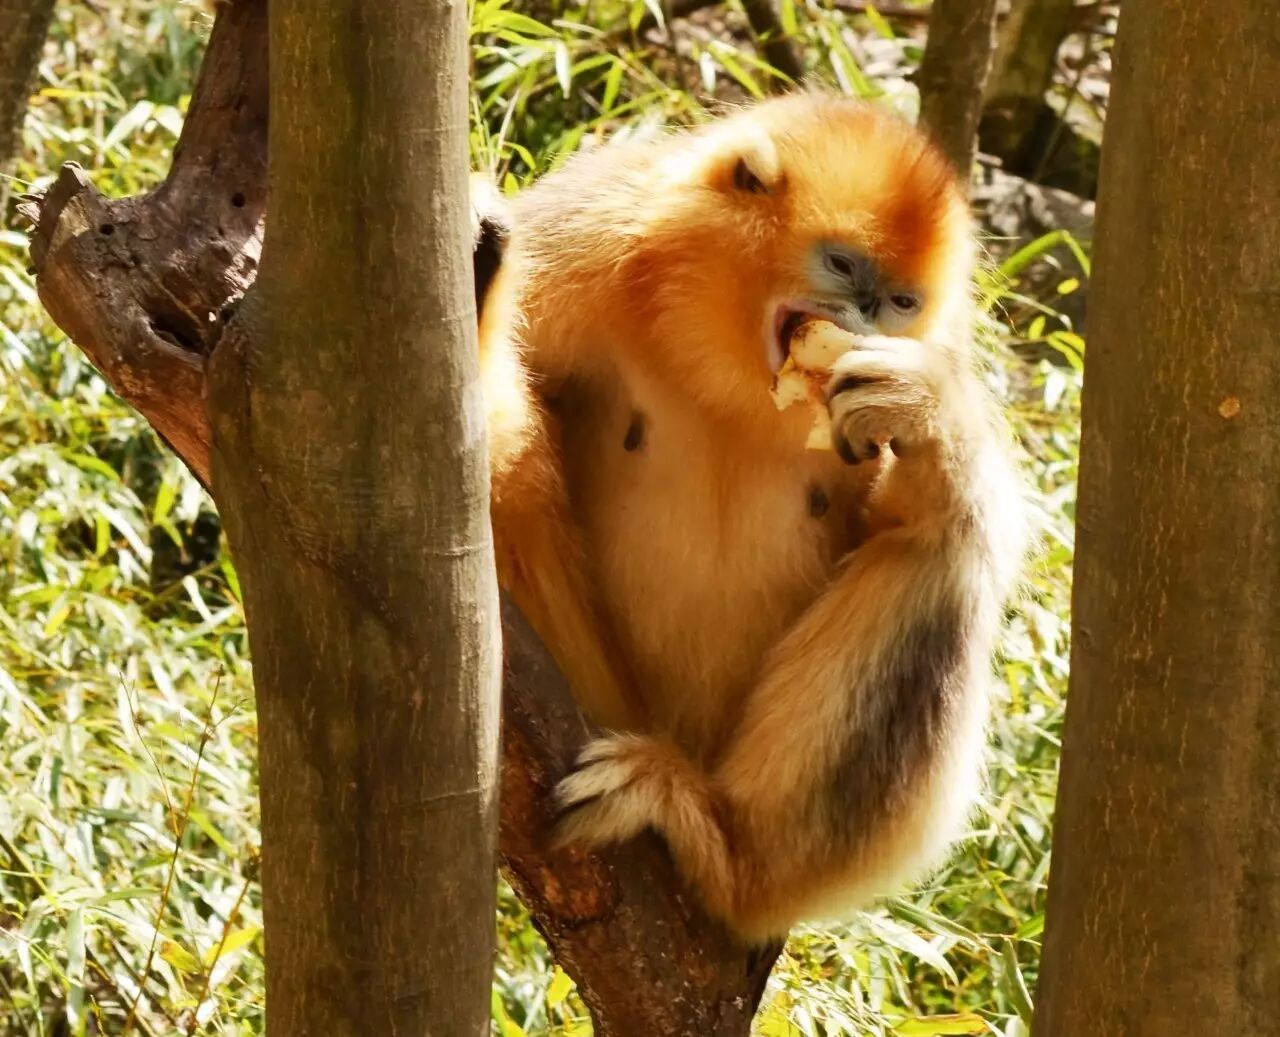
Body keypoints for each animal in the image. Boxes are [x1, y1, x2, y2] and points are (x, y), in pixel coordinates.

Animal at [476, 92, 1029, 942]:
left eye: (902, 301)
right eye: (843, 265)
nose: (868, 315)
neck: (728, 368)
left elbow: (946, 512)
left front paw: (925, 410)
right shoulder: (582, 235)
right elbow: (495, 474)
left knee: (941, 552)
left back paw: (728, 857)